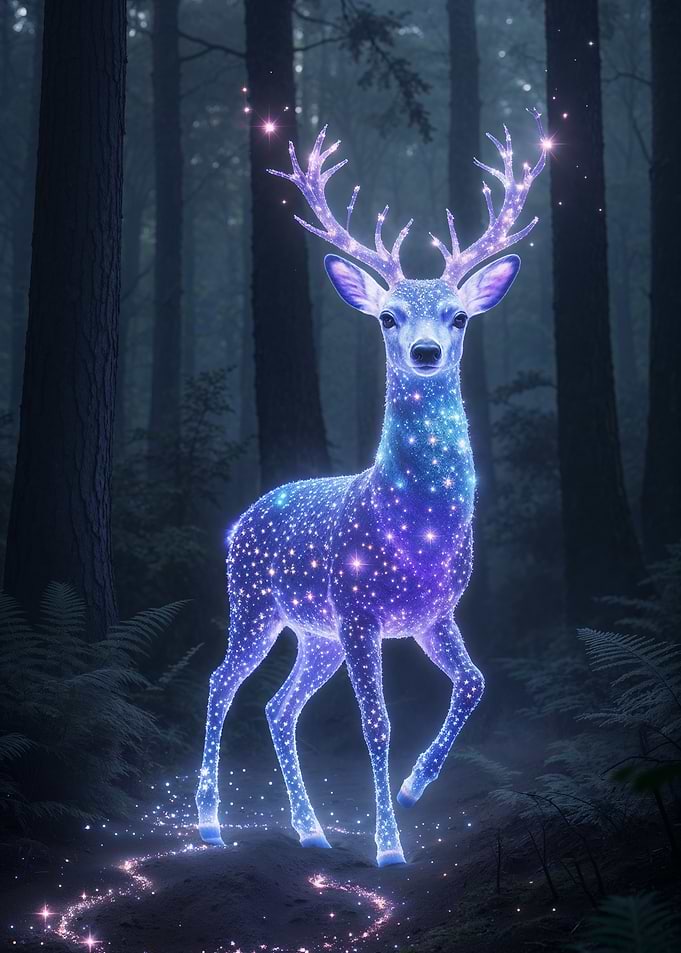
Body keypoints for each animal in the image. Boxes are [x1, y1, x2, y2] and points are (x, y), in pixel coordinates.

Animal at [196, 110, 548, 867]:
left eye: (458, 315)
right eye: (388, 316)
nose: (425, 352)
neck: (415, 531)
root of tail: (240, 520)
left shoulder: (433, 615)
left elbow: (475, 682)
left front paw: (414, 789)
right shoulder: (360, 612)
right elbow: (377, 722)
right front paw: (389, 846)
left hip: (315, 633)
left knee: (278, 705)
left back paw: (311, 829)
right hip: (255, 604)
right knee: (220, 684)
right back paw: (208, 822)